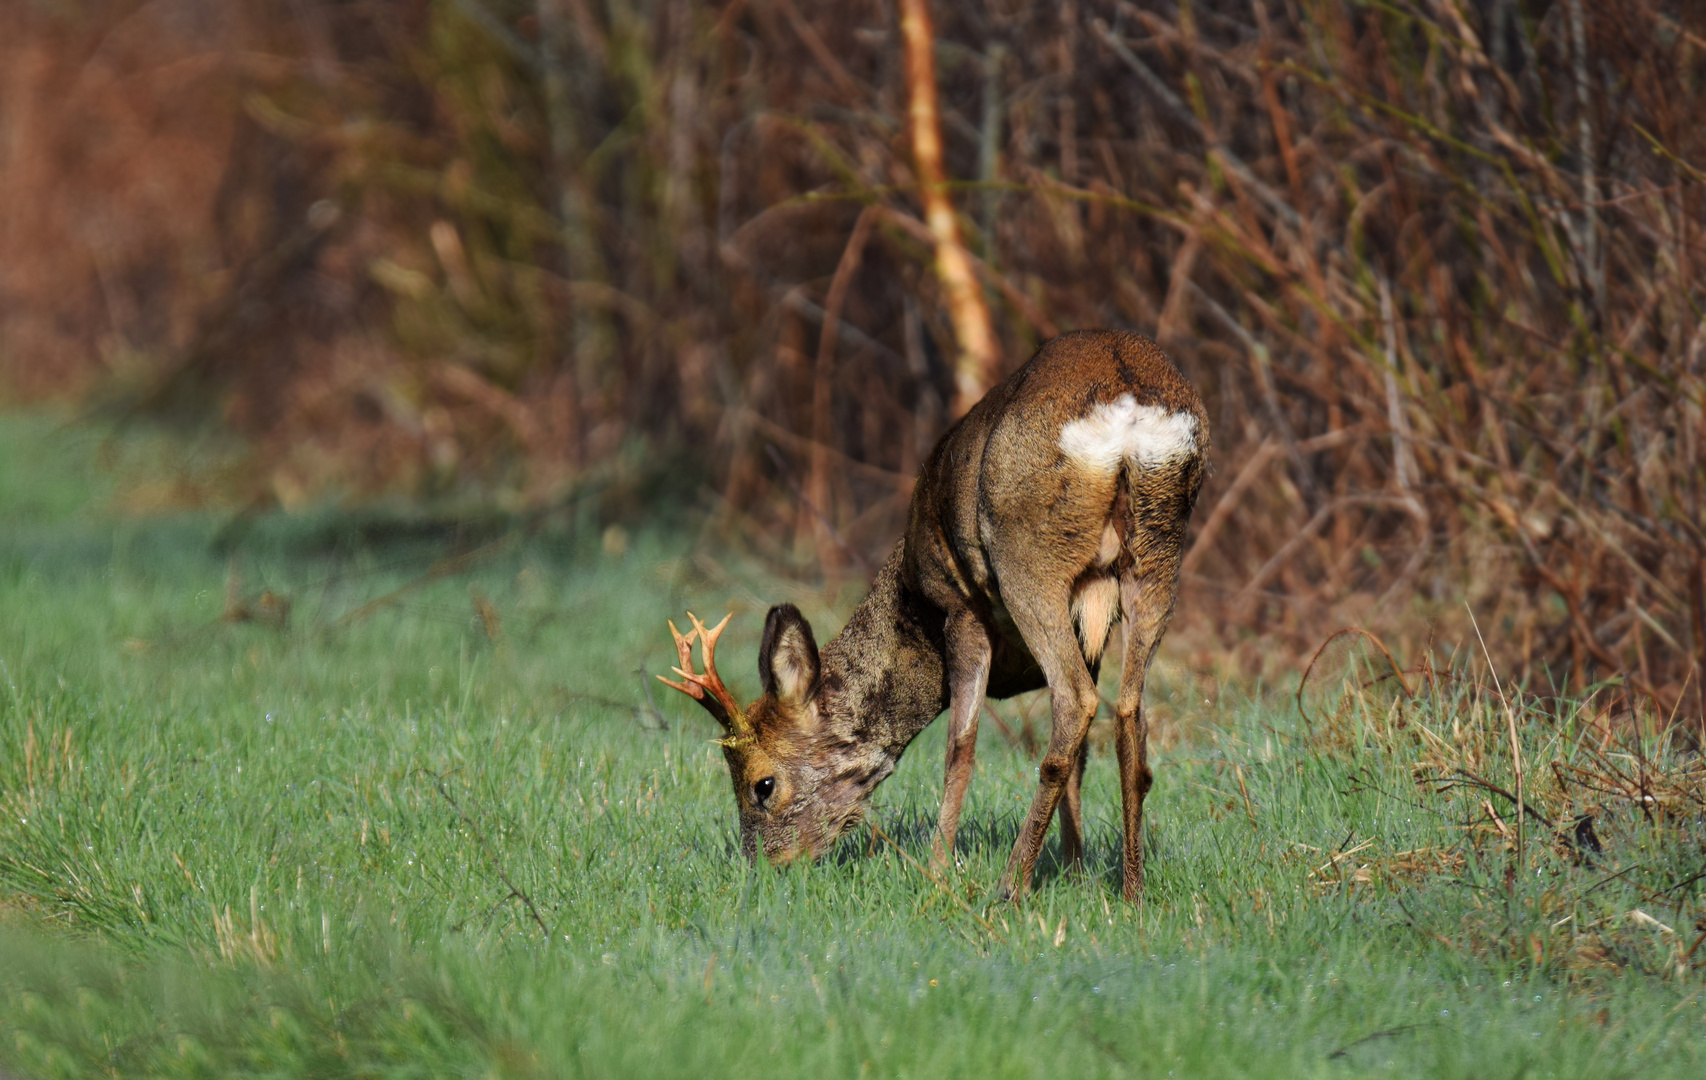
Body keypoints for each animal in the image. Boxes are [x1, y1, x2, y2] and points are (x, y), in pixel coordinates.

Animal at [658, 330, 1207, 900]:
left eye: (761, 785)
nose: (766, 869)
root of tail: (1126, 402)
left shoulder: (959, 605)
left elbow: (959, 747)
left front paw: (939, 871)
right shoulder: (1089, 624)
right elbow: (1079, 761)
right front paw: (1075, 871)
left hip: (1028, 554)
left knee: (1075, 702)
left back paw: (1010, 888)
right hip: (1158, 549)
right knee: (1128, 714)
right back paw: (1132, 891)